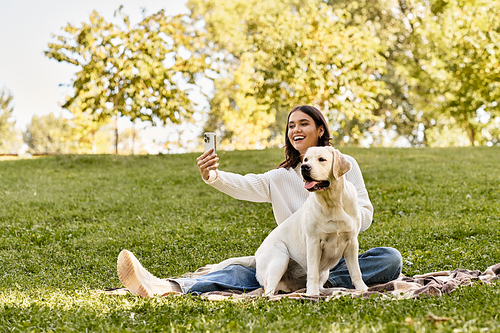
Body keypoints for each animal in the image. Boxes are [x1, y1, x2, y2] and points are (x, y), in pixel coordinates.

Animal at [209, 147, 370, 294]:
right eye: (305, 160)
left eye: (322, 159)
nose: (305, 167)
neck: (332, 203)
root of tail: (256, 256)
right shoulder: (313, 243)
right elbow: (312, 273)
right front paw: (311, 295)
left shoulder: (352, 242)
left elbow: (356, 271)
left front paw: (362, 290)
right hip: (280, 257)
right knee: (268, 292)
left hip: (324, 271)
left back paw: (331, 290)